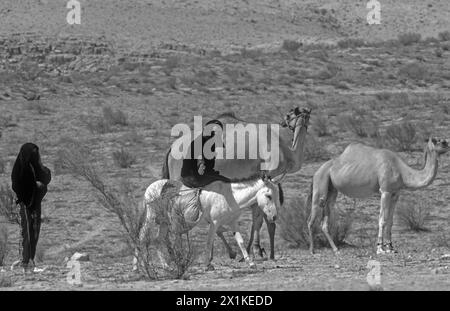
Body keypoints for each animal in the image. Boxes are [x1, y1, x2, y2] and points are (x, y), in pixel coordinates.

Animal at [132, 174, 284, 272]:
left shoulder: (233, 223)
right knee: (142, 237)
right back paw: (136, 267)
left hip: (164, 221)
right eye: (268, 196)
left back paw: (166, 266)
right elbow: (209, 242)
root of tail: (151, 187)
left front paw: (250, 263)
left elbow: (240, 241)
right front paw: (208, 265)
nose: (274, 217)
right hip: (151, 217)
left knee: (158, 240)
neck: (231, 197)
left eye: (277, 196)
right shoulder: (214, 223)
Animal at [308, 139, 448, 256]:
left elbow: (390, 221)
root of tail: (317, 171)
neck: (402, 172)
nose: (448, 145)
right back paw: (312, 250)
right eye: (440, 142)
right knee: (312, 216)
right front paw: (380, 249)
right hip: (321, 182)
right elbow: (382, 220)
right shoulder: (385, 191)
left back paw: (336, 249)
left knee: (326, 216)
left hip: (332, 189)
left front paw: (391, 248)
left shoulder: (395, 193)